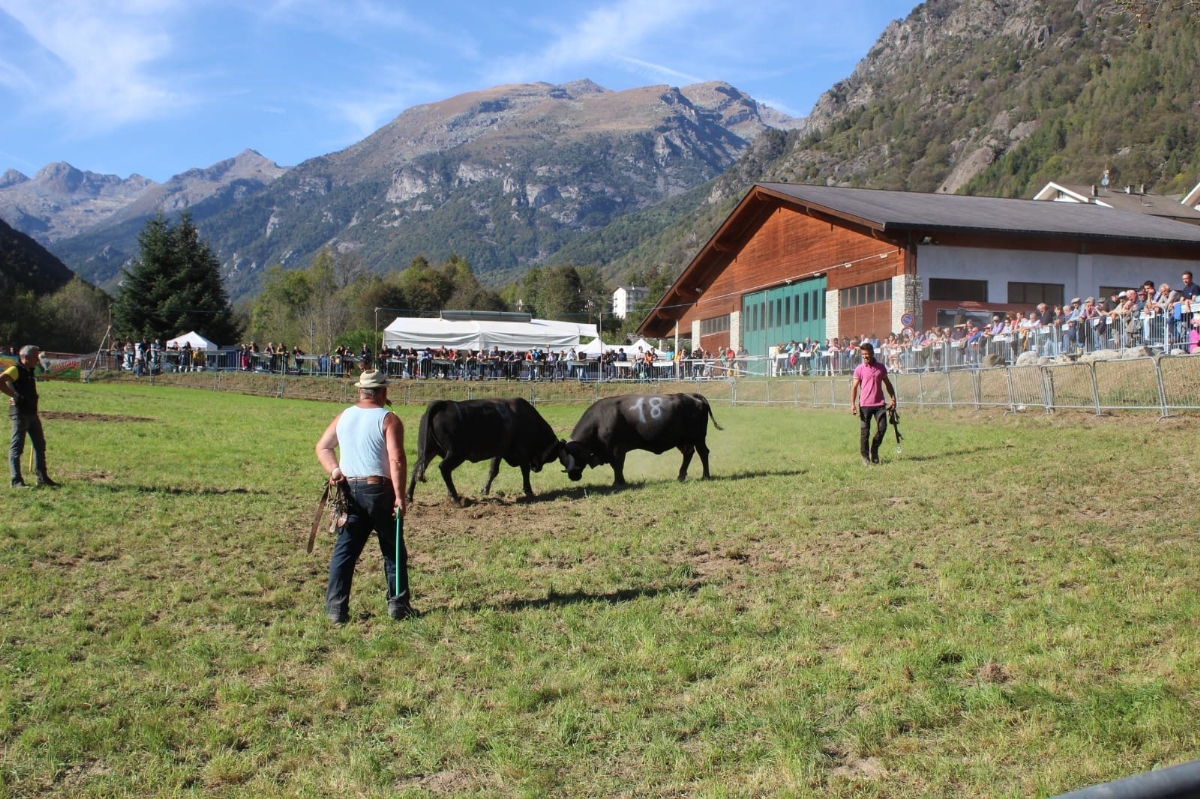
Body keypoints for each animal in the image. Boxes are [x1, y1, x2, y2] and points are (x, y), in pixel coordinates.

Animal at [408, 398, 561, 503]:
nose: (537, 468)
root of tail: (444, 404)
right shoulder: (522, 451)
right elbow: (524, 471)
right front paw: (528, 491)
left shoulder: (499, 452)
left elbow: (493, 470)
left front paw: (484, 489)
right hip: (456, 453)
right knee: (444, 468)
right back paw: (455, 496)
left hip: (427, 452)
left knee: (417, 469)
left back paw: (409, 496)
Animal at [559, 391, 720, 484]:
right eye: (563, 461)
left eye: (575, 457)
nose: (573, 476)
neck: (599, 421)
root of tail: (691, 395)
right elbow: (616, 466)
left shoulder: (617, 450)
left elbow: (618, 465)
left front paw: (619, 482)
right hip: (682, 440)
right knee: (688, 453)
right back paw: (680, 476)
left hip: (698, 437)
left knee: (703, 452)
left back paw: (705, 476)